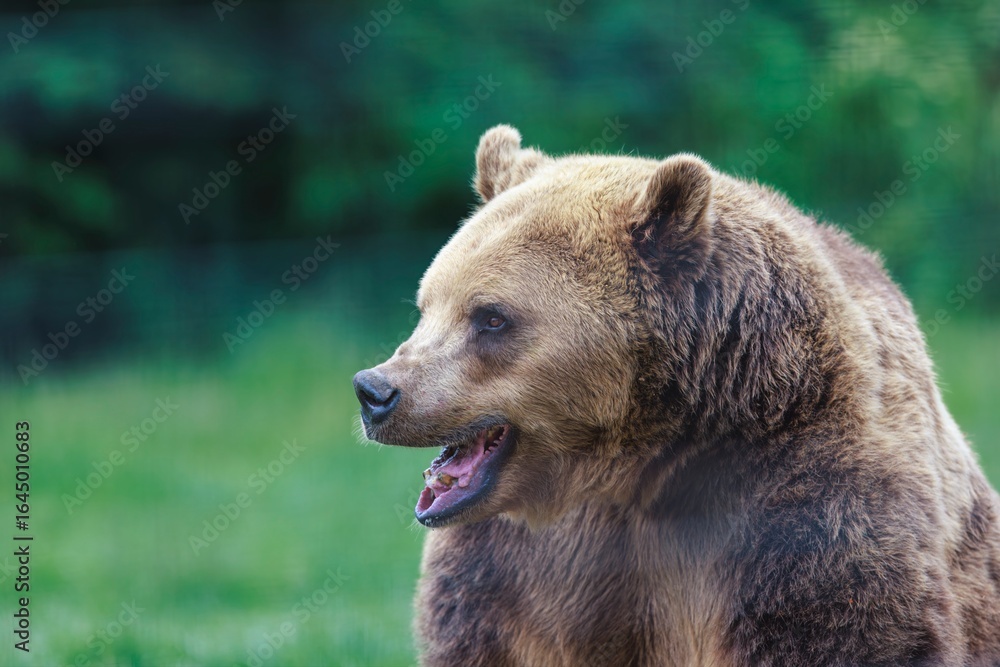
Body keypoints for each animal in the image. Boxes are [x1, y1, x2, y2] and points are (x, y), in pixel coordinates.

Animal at [353, 125, 1000, 666]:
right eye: (426, 304)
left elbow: (840, 627)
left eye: (490, 316)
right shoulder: (517, 566)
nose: (376, 391)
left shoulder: (803, 505)